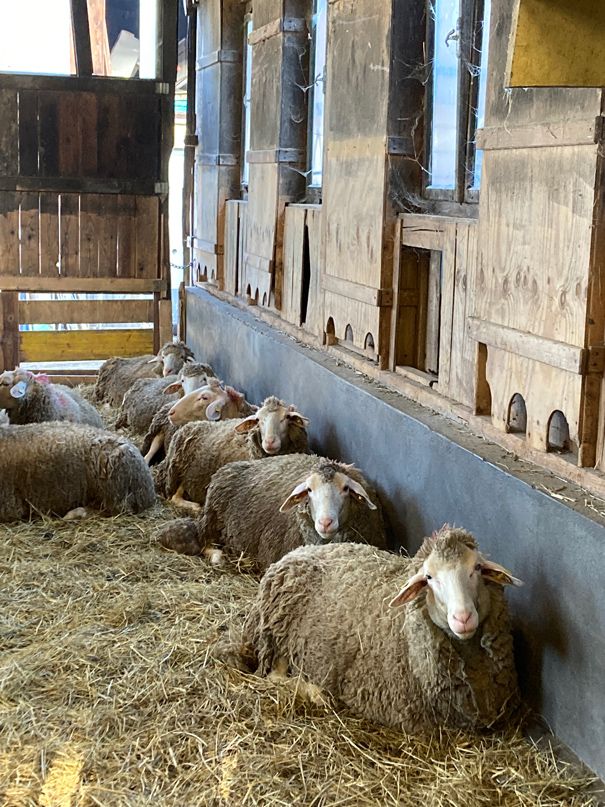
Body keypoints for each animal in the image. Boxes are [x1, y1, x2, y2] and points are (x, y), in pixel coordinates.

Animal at [156, 458, 386, 572]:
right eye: (309, 490)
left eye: (346, 489)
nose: (325, 523)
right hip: (212, 519)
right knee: (205, 542)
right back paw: (217, 557)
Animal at [234, 528, 520, 736]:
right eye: (429, 578)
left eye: (477, 568)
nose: (463, 617)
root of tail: (298, 551)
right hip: (275, 635)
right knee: (274, 675)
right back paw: (317, 694)